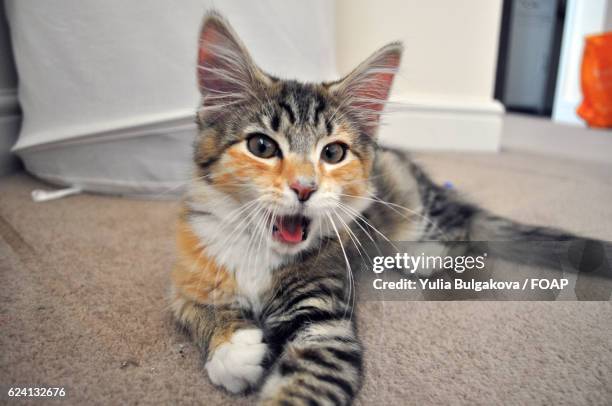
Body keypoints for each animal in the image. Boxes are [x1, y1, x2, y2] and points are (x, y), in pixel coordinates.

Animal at [170, 11, 600, 404]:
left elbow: (306, 386)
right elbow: (192, 306)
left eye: (333, 153)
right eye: (261, 146)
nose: (305, 187)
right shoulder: (186, 271)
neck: (260, 251)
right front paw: (232, 348)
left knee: (463, 230)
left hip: (414, 206)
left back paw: (424, 255)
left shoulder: (326, 322)